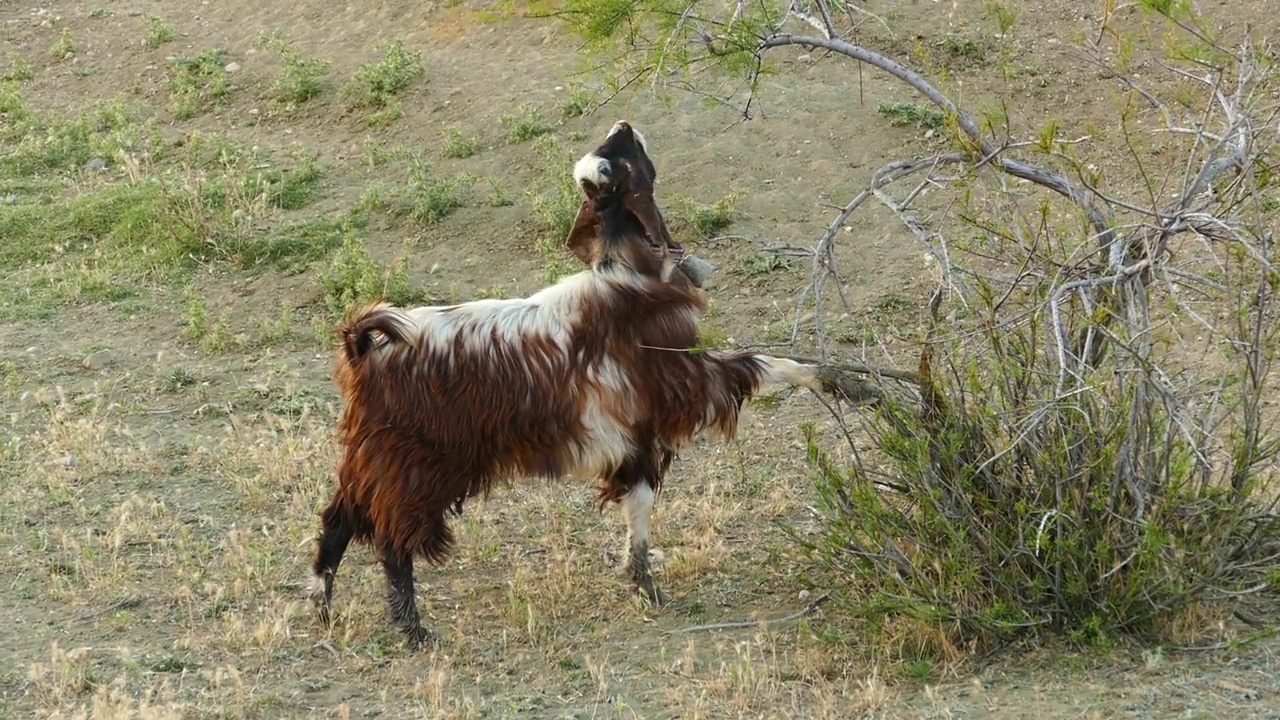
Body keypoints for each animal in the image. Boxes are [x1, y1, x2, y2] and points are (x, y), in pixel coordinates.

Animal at [309, 119, 849, 645]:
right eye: (616, 161)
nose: (624, 124)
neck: (628, 277)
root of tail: (364, 348)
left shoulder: (634, 433)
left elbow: (639, 496)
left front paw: (640, 581)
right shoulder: (682, 386)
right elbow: (757, 365)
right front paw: (845, 382)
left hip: (369, 460)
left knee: (338, 521)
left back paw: (323, 609)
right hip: (414, 468)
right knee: (391, 538)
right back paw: (413, 629)